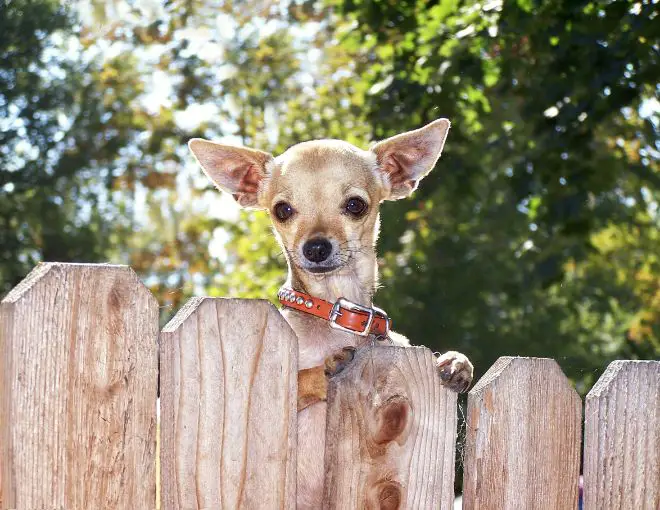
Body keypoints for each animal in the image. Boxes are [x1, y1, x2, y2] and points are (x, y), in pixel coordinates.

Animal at [188, 118, 472, 506]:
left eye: (355, 205)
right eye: (282, 210)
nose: (316, 247)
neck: (337, 314)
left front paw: (456, 361)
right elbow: (302, 377)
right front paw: (328, 369)